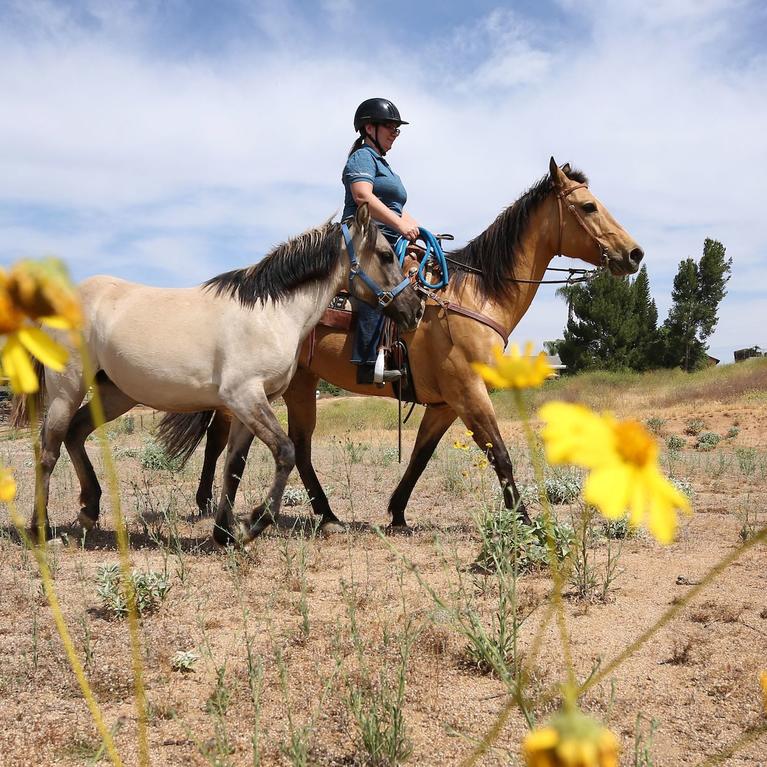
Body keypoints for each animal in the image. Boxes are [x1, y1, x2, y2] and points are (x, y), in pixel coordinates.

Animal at [19, 203, 423, 545]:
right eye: (386, 255)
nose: (415, 310)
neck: (270, 312)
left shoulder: (248, 404)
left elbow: (234, 465)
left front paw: (225, 532)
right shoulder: (245, 396)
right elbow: (286, 452)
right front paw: (255, 524)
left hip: (115, 393)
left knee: (76, 433)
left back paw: (89, 511)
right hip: (66, 389)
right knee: (48, 449)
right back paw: (41, 530)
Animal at [160, 158, 645, 533]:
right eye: (588, 205)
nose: (635, 254)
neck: (473, 295)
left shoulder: (446, 403)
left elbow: (420, 456)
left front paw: (396, 513)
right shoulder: (469, 392)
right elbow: (501, 455)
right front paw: (526, 523)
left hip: (299, 385)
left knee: (298, 446)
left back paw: (326, 514)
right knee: (221, 437)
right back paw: (209, 504)